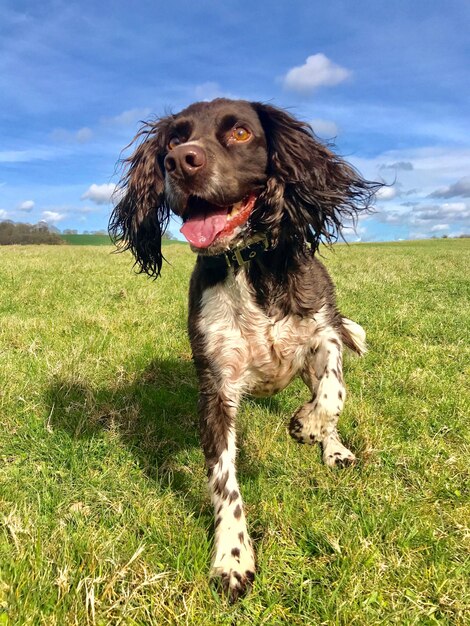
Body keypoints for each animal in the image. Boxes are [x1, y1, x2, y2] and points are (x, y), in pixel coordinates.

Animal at [109, 97, 378, 600]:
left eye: (240, 133)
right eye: (175, 138)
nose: (180, 161)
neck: (247, 267)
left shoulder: (324, 331)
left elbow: (333, 392)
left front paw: (308, 426)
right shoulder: (216, 386)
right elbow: (224, 482)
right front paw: (232, 557)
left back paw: (332, 448)